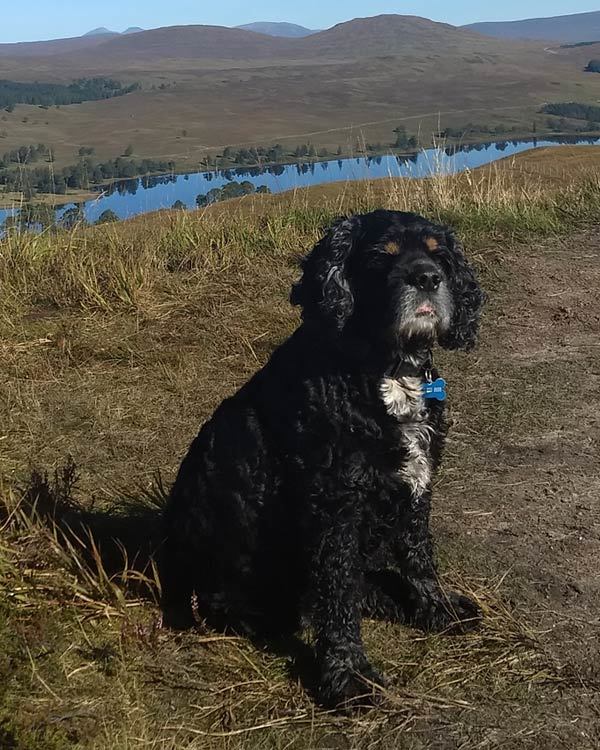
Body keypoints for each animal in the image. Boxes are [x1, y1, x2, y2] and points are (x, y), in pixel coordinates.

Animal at [161, 209, 488, 708]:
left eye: (440, 255)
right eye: (381, 255)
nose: (428, 278)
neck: (386, 373)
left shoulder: (418, 482)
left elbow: (419, 558)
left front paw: (437, 607)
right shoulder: (333, 505)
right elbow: (336, 594)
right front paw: (347, 672)